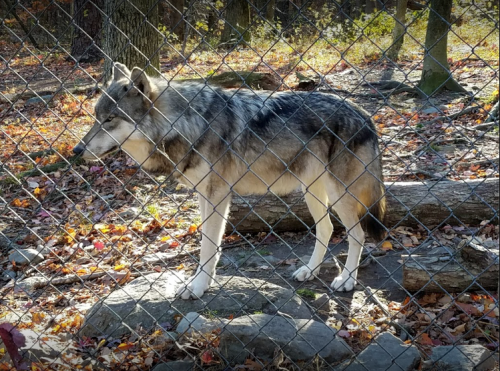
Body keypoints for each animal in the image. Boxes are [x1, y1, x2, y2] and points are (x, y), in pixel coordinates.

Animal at [74, 61, 386, 300]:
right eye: (96, 117)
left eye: (110, 119)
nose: (76, 150)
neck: (187, 123)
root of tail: (365, 115)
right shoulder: (205, 195)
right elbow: (208, 244)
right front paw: (203, 281)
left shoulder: (217, 195)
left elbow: (208, 245)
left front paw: (197, 287)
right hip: (314, 192)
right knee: (326, 229)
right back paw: (309, 271)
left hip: (340, 194)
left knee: (357, 235)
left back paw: (347, 280)